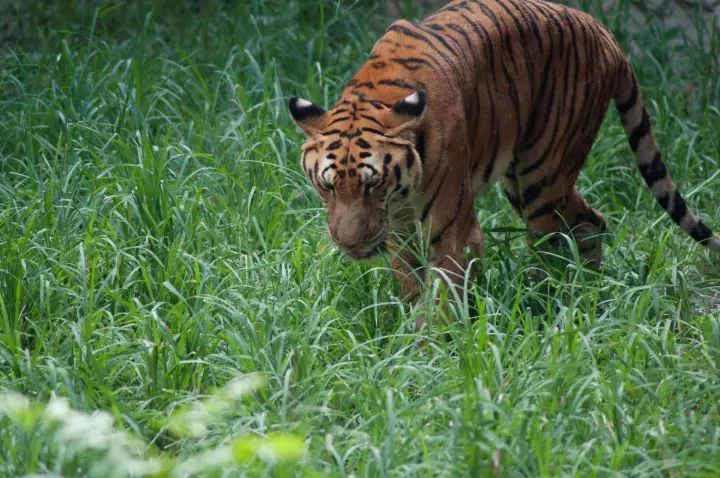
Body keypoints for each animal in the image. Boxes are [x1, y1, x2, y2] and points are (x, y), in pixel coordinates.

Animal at [288, 0, 720, 310]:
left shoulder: (452, 231)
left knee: (573, 230)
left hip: (542, 176)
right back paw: (573, 297)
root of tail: (603, 32)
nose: (348, 244)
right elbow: (412, 289)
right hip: (525, 178)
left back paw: (555, 303)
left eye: (372, 184)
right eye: (327, 187)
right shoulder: (400, 232)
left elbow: (441, 301)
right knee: (587, 223)